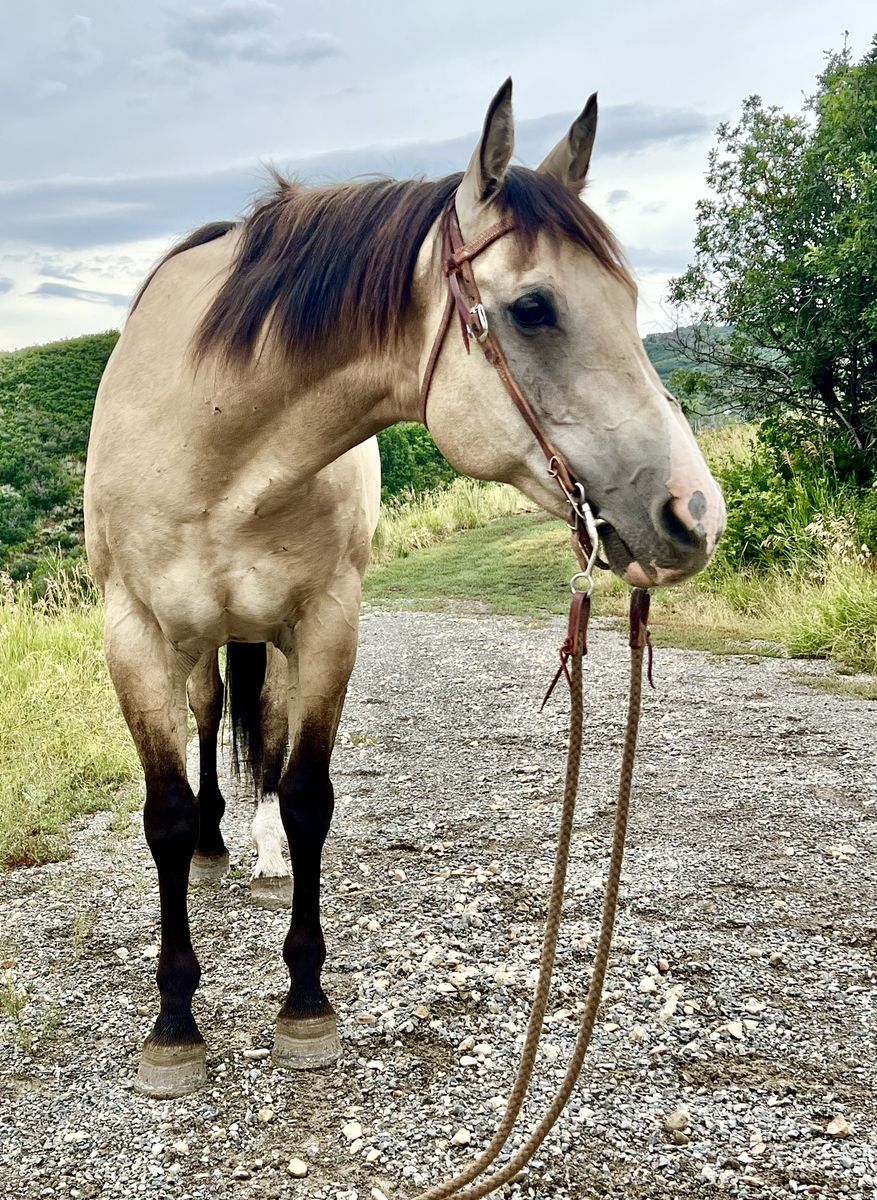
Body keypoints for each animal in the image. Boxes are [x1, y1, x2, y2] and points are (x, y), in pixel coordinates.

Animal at [83, 79, 725, 1099]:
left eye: (629, 299)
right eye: (534, 309)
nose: (694, 513)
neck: (213, 444)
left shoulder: (327, 625)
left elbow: (306, 795)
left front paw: (305, 1004)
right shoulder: (134, 637)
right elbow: (167, 814)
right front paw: (174, 1023)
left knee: (265, 740)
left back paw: (262, 853)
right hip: (196, 643)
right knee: (212, 721)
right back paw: (221, 850)